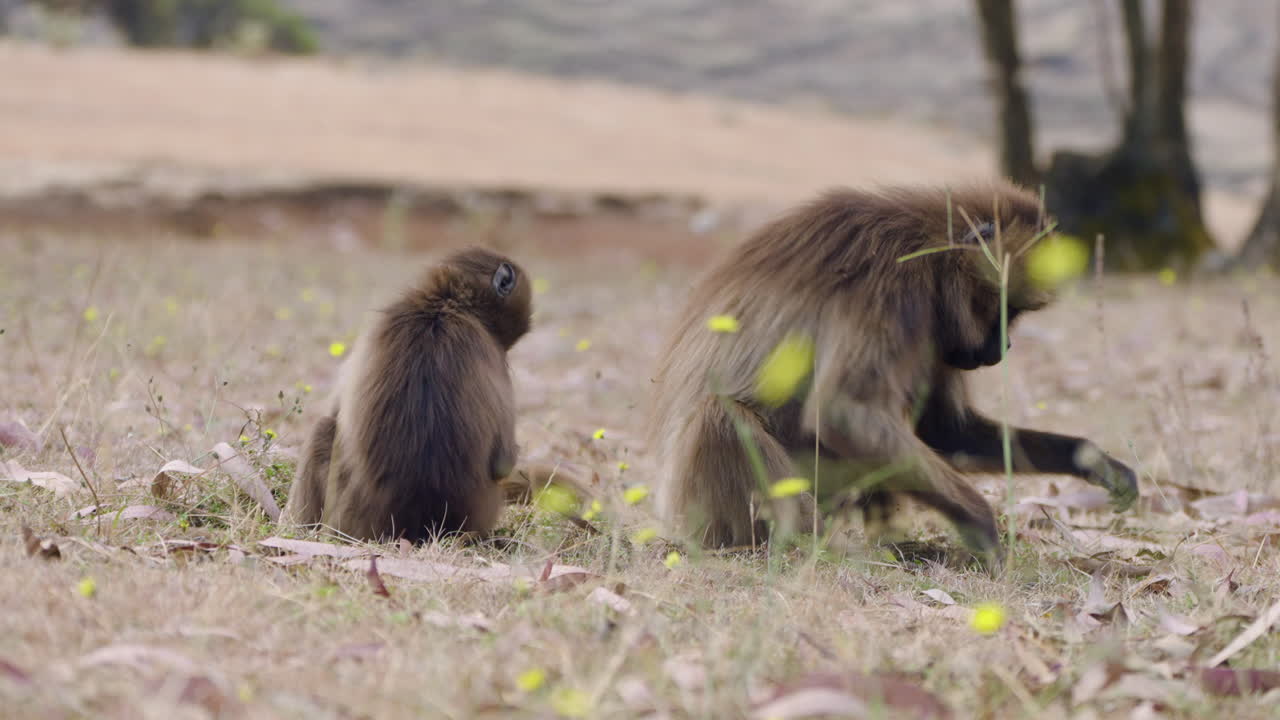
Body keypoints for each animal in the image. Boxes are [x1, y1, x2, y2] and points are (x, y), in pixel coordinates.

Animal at [647, 182, 1138, 568]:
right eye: (1003, 310)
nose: (1003, 349)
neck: (926, 246)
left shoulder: (937, 329)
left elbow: (944, 430)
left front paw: (1092, 461)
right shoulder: (893, 288)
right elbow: (843, 412)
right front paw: (981, 523)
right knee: (721, 416)